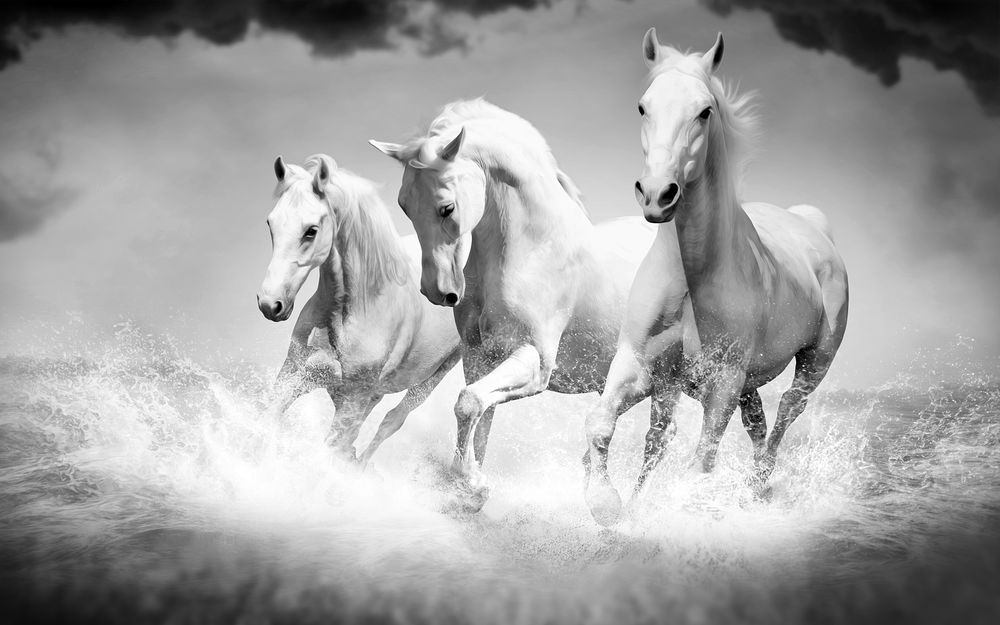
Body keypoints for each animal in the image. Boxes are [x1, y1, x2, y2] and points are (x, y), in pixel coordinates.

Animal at [257, 154, 461, 465]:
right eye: (271, 223)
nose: (270, 304)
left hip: (436, 374)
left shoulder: (352, 400)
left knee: (392, 420)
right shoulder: (296, 374)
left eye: (311, 230)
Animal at [370, 99, 673, 512]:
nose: (438, 292)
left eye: (447, 208)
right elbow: (479, 416)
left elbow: (468, 404)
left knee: (659, 440)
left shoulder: (535, 361)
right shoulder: (480, 358)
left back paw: (626, 512)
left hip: (669, 381)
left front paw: (473, 484)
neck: (532, 251)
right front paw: (469, 490)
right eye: (404, 205)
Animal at [633, 30, 849, 489]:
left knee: (787, 410)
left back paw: (759, 484)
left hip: (814, 362)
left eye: (704, 111)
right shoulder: (664, 376)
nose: (657, 194)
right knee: (758, 423)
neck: (698, 278)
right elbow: (652, 448)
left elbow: (700, 462)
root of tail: (814, 227)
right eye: (643, 106)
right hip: (749, 383)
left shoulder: (723, 386)